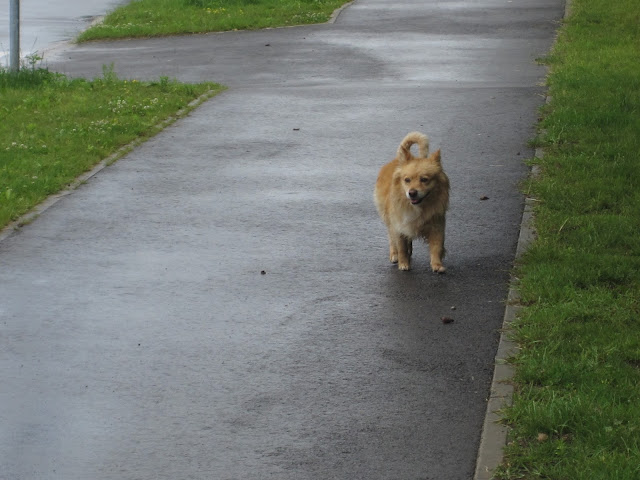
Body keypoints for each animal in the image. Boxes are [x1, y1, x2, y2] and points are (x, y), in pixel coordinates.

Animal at [372, 132, 448, 274]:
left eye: (424, 180)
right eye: (407, 180)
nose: (412, 192)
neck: (417, 207)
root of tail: (398, 159)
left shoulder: (437, 227)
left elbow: (437, 246)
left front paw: (437, 265)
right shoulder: (399, 227)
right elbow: (401, 246)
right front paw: (403, 263)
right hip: (389, 220)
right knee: (391, 238)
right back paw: (395, 254)